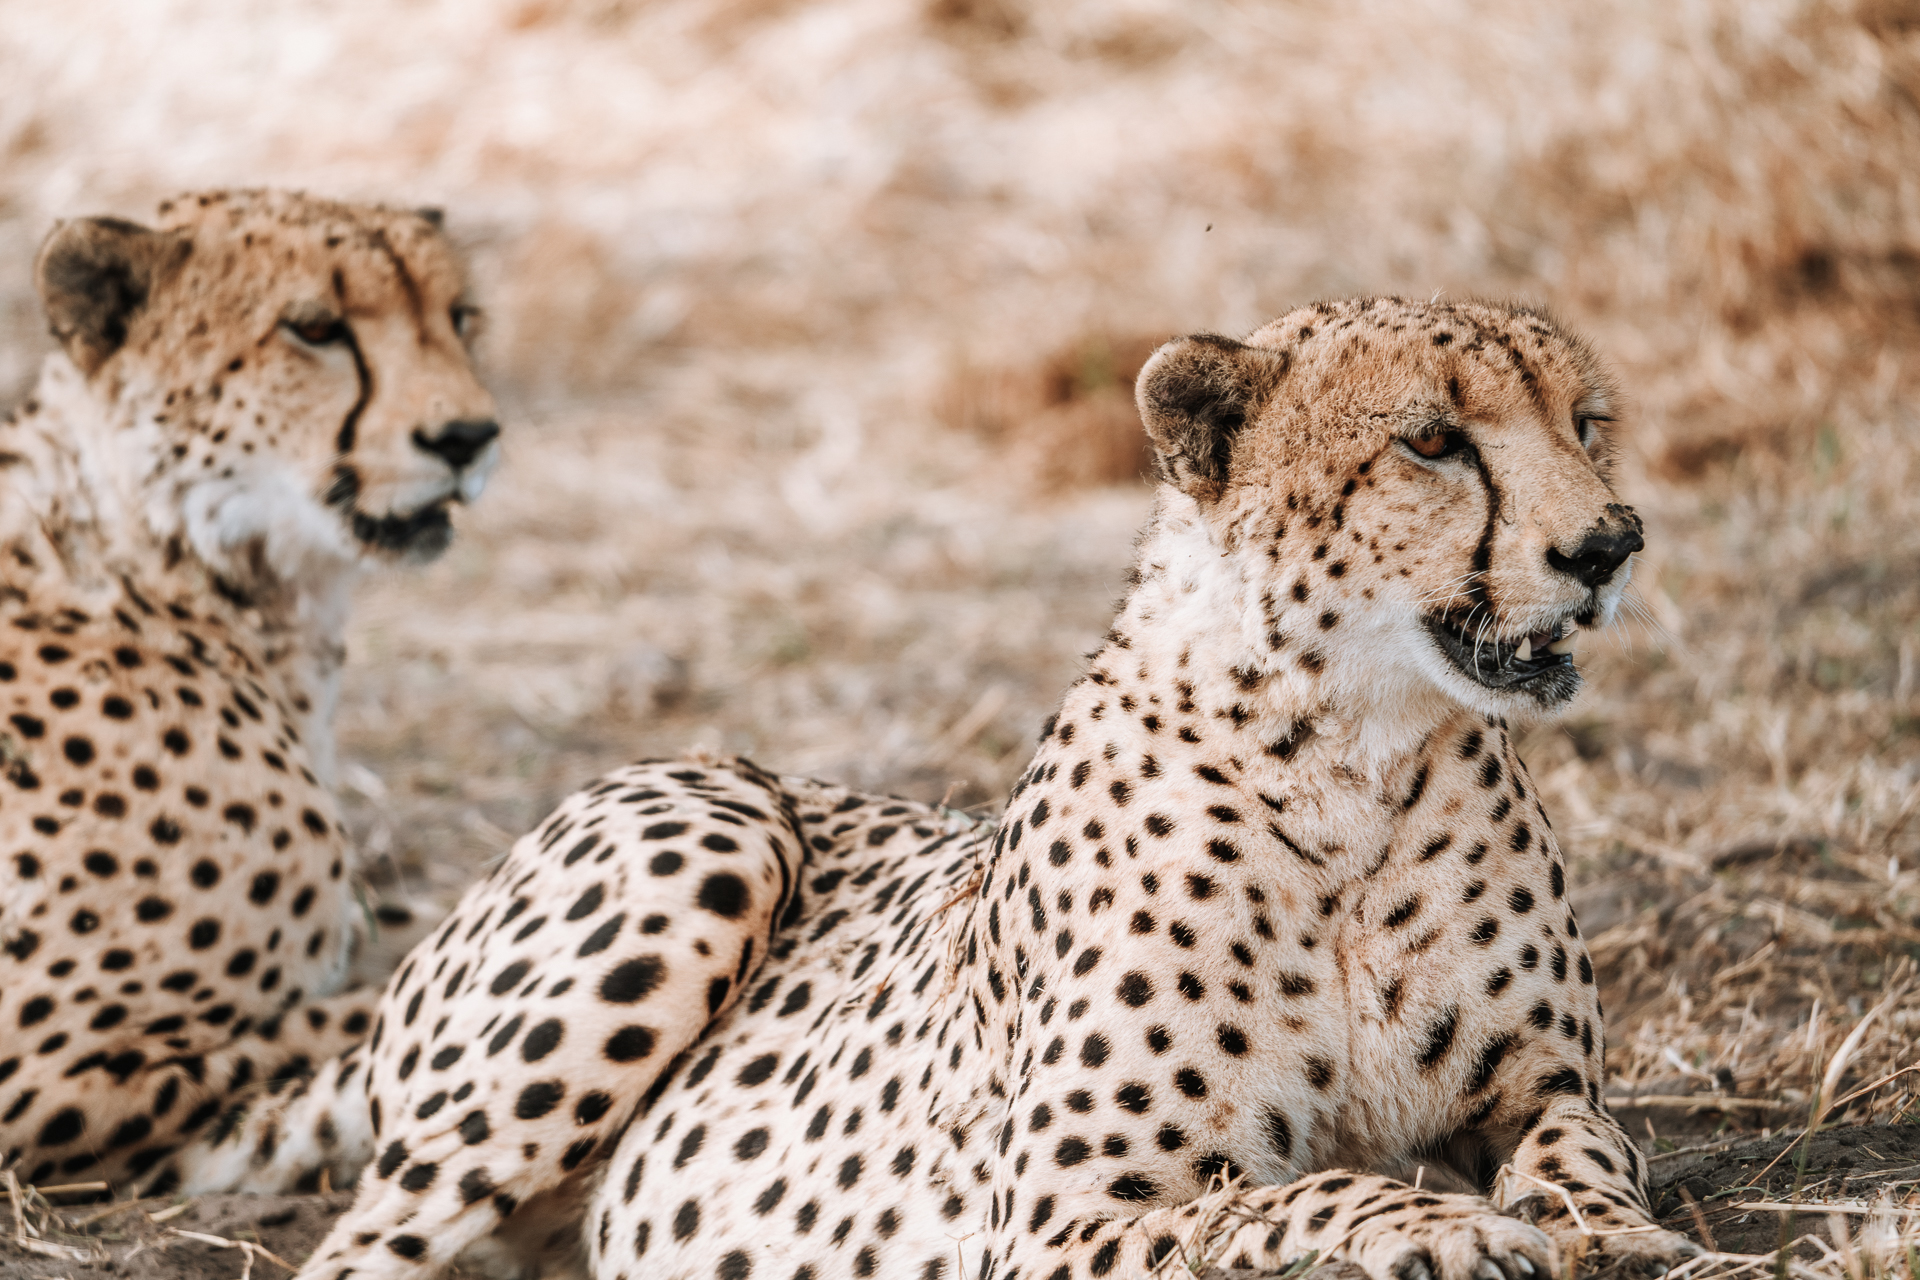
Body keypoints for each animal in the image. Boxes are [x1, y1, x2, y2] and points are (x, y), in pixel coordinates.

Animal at [238, 297, 1703, 1280]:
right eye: (1434, 442)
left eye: (1587, 425)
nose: (1610, 545)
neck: (1350, 757)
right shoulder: (1058, 1221)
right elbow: (1275, 1201)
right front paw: (1441, 1227)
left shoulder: (1545, 1094)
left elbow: (1587, 1151)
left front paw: (1609, 1234)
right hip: (710, 831)